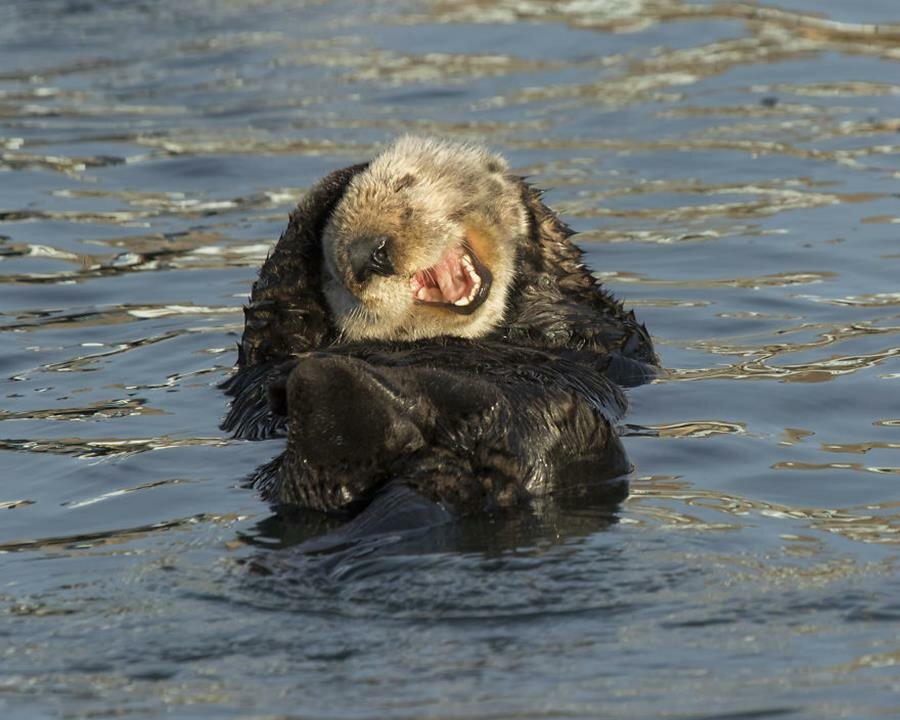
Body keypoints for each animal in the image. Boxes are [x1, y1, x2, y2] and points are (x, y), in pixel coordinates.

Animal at [221, 136, 656, 516]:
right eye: (336, 274)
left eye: (405, 185)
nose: (369, 255)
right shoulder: (271, 346)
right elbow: (274, 315)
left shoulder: (601, 327)